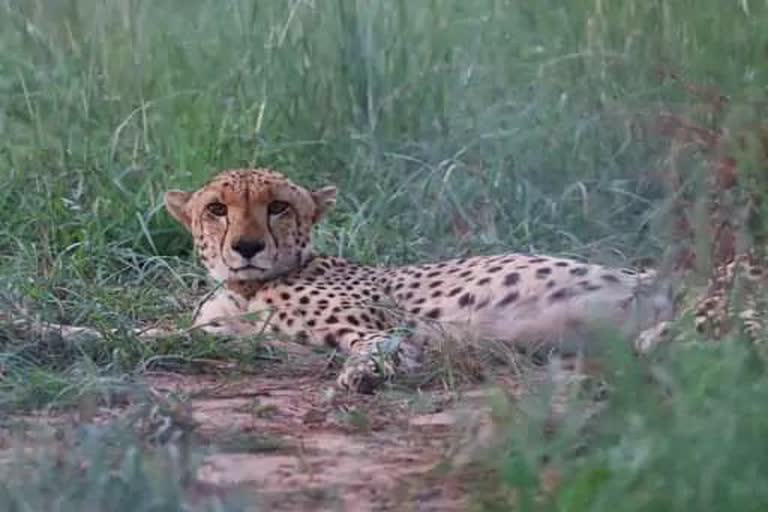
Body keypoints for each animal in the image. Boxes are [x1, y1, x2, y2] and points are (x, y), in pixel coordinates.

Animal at [165, 168, 676, 392]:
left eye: (278, 207)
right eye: (216, 209)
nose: (247, 247)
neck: (247, 289)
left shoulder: (386, 330)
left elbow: (380, 348)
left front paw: (362, 374)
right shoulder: (243, 337)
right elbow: (176, 334)